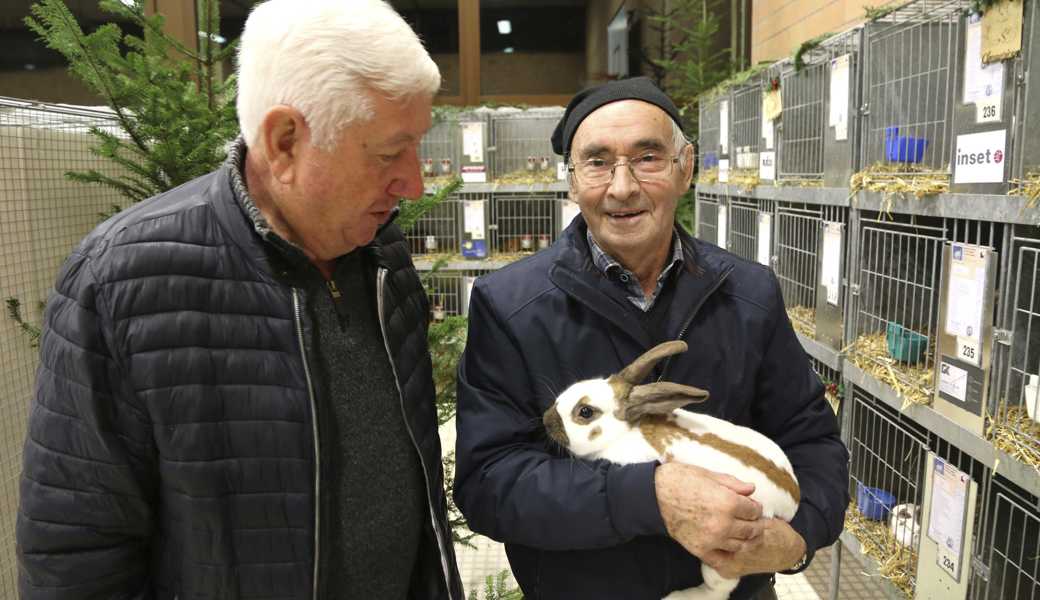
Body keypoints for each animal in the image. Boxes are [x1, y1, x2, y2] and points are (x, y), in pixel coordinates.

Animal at [544, 341, 802, 598]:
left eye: (585, 412)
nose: (546, 420)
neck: (628, 429)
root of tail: (793, 499)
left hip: (723, 559)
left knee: (718, 590)